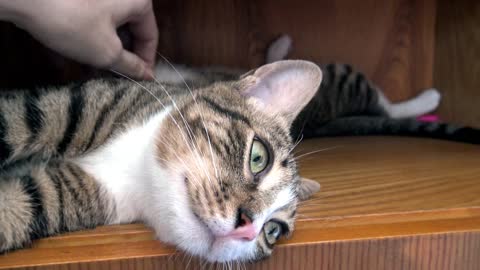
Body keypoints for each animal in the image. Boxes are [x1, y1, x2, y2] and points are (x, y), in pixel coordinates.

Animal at [0, 35, 480, 264]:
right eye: (258, 157)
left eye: (275, 231)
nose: (248, 230)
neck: (135, 169)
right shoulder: (66, 107)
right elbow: (18, 119)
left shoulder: (61, 194)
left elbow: (19, 204)